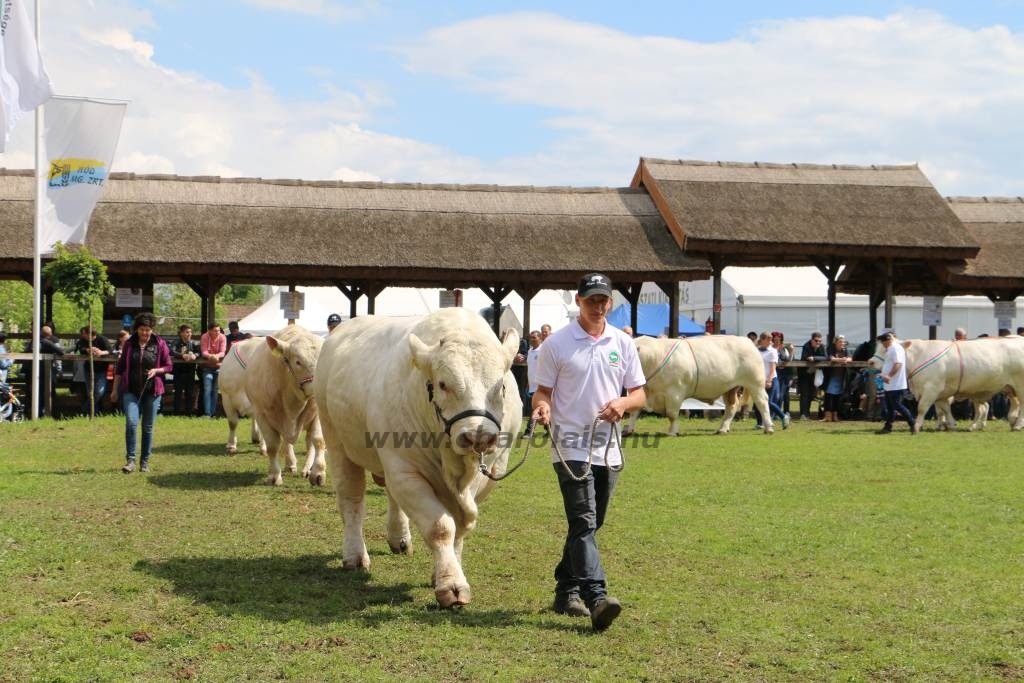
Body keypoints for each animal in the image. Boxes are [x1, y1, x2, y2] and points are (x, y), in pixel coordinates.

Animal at [232, 325, 327, 485]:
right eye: (298, 362)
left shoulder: (317, 413)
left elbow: (318, 440)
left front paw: (318, 472)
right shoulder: (262, 414)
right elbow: (272, 446)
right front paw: (275, 475)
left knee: (309, 442)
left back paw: (307, 469)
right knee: (287, 443)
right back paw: (291, 464)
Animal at [311, 309, 524, 610]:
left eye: (501, 386)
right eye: (443, 384)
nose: (477, 436)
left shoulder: (489, 471)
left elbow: (460, 527)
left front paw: (446, 571)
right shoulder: (404, 470)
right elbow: (441, 526)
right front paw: (451, 585)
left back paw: (399, 538)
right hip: (337, 441)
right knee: (352, 500)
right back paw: (354, 555)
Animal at [622, 335, 774, 436]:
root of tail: (746, 341)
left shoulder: (674, 393)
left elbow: (672, 414)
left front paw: (672, 432)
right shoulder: (644, 391)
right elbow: (634, 411)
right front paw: (628, 430)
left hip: (755, 383)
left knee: (762, 402)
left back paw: (769, 428)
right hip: (730, 388)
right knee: (731, 407)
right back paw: (722, 429)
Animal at [872, 337, 1024, 432]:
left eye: (886, 349)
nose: (870, 361)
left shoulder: (931, 389)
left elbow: (922, 408)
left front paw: (916, 426)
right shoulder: (941, 393)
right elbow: (944, 409)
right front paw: (951, 424)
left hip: (1020, 387)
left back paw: (1017, 425)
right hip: (1007, 388)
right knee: (1007, 405)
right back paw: (1010, 422)